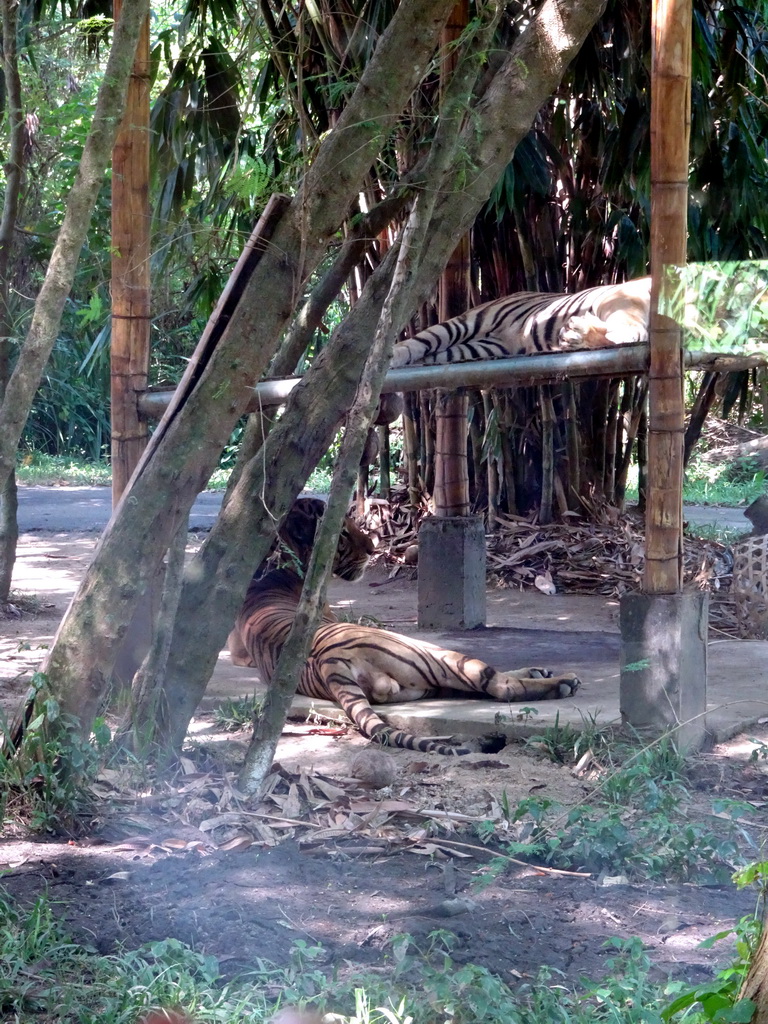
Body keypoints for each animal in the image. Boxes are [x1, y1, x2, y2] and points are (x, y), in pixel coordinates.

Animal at [228, 495, 581, 753]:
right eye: (343, 533)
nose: (373, 548)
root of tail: (330, 663)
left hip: (421, 683)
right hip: (432, 655)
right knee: (498, 685)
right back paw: (565, 682)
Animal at [393, 274, 651, 366]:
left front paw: (575, 335)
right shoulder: (620, 296)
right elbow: (627, 320)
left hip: (477, 349)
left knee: (430, 355)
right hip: (462, 324)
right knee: (415, 344)